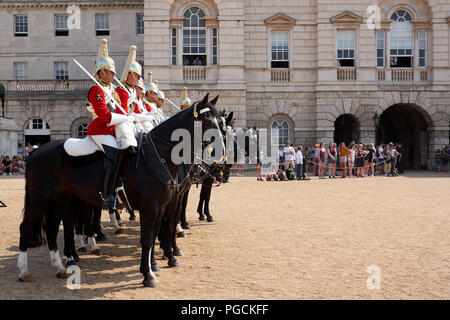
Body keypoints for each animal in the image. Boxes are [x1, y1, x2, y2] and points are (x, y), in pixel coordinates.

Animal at [18, 93, 222, 288]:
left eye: (220, 121)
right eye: (207, 119)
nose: (220, 157)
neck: (158, 156)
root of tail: (36, 151)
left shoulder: (164, 205)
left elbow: (157, 232)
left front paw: (156, 264)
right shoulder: (151, 207)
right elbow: (147, 238)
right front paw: (149, 274)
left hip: (59, 199)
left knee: (52, 227)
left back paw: (60, 266)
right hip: (41, 199)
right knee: (28, 226)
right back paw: (26, 270)